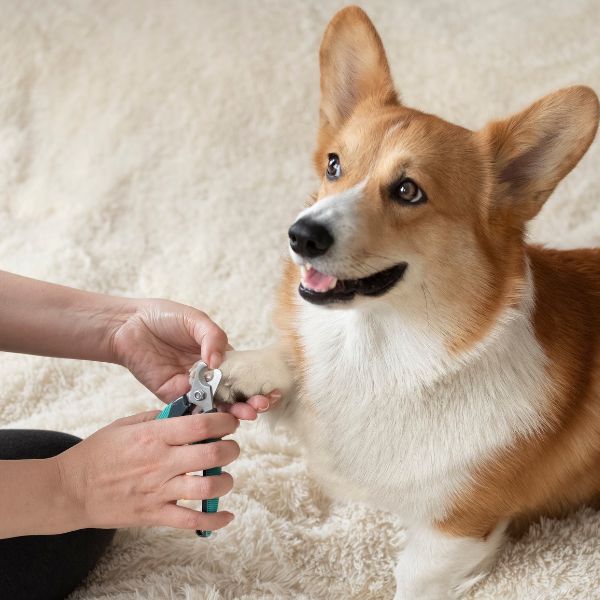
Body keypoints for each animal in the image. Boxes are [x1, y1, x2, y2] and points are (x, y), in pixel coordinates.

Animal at [209, 5, 596, 600]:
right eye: (334, 165)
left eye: (408, 190)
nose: (300, 235)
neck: (380, 353)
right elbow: (290, 358)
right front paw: (243, 369)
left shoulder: (455, 531)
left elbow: (414, 577)